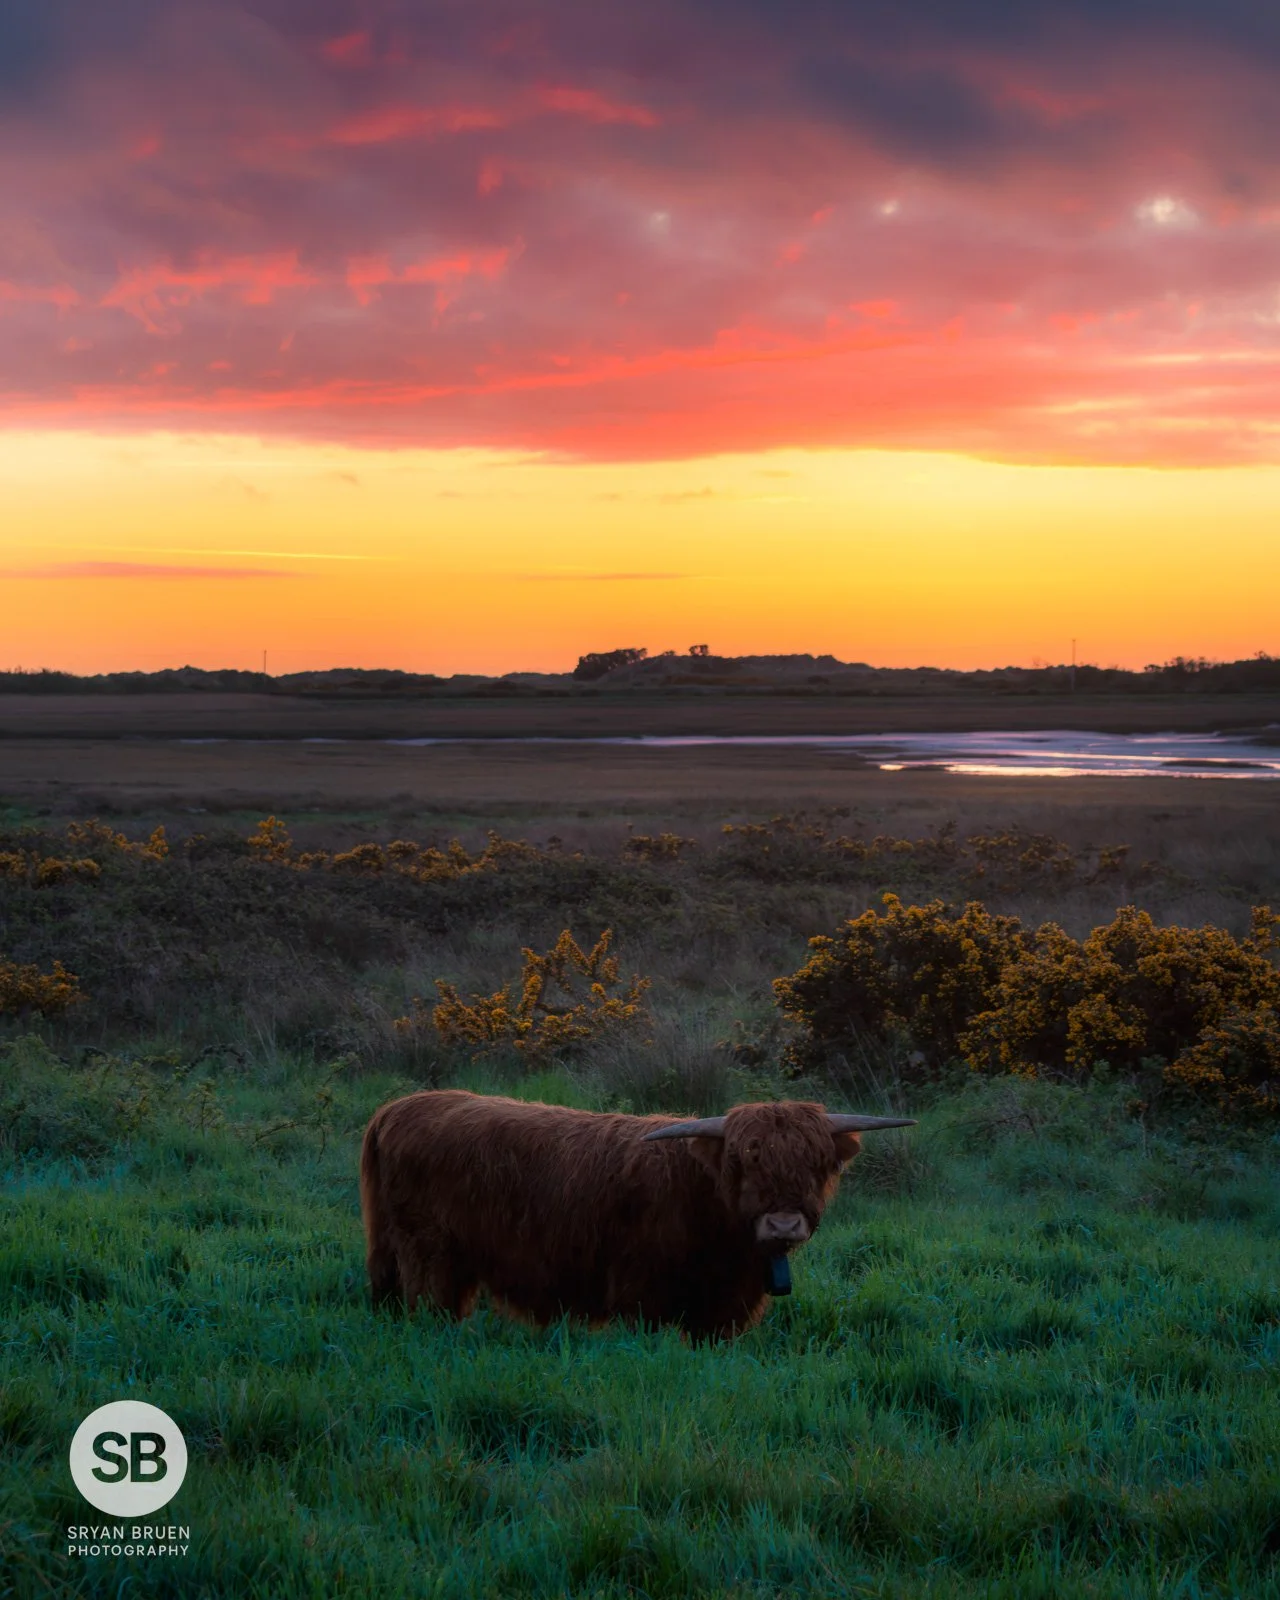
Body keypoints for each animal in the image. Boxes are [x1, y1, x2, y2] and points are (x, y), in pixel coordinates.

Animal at [360, 1089, 914, 1341]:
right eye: (742, 1161)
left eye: (816, 1164)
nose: (783, 1224)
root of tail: (396, 1108)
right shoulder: (641, 1293)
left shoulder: (721, 1310)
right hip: (428, 1253)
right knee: (430, 1304)